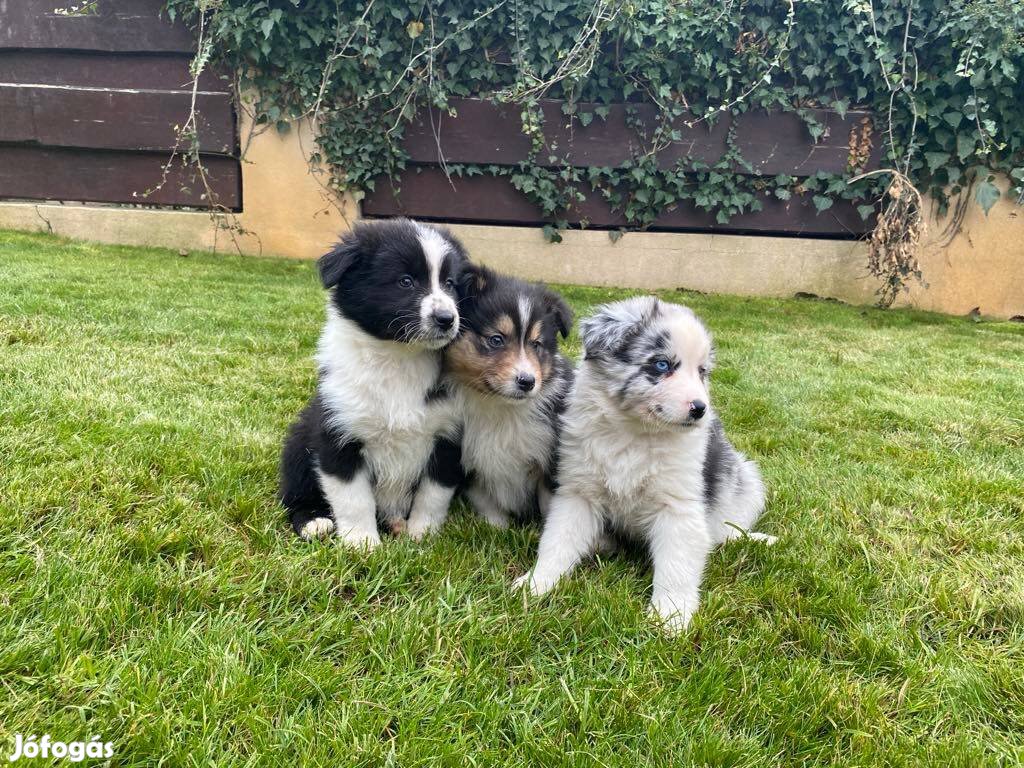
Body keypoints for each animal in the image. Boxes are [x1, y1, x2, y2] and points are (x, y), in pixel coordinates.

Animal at [282, 219, 468, 548]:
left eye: (449, 284)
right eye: (405, 281)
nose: (447, 318)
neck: (399, 357)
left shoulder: (447, 436)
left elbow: (433, 495)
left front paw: (422, 535)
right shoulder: (339, 433)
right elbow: (354, 498)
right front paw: (362, 544)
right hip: (299, 440)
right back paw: (313, 521)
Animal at [401, 270, 573, 540]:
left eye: (536, 344)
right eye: (496, 340)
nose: (527, 382)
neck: (499, 405)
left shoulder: (549, 460)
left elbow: (550, 504)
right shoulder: (469, 463)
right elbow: (486, 503)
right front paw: (497, 528)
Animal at [516, 296, 770, 634]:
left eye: (702, 371)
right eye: (662, 365)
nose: (700, 409)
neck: (635, 432)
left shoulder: (679, 507)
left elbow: (676, 565)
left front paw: (670, 618)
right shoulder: (578, 494)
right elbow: (557, 542)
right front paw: (536, 584)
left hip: (746, 481)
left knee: (722, 532)